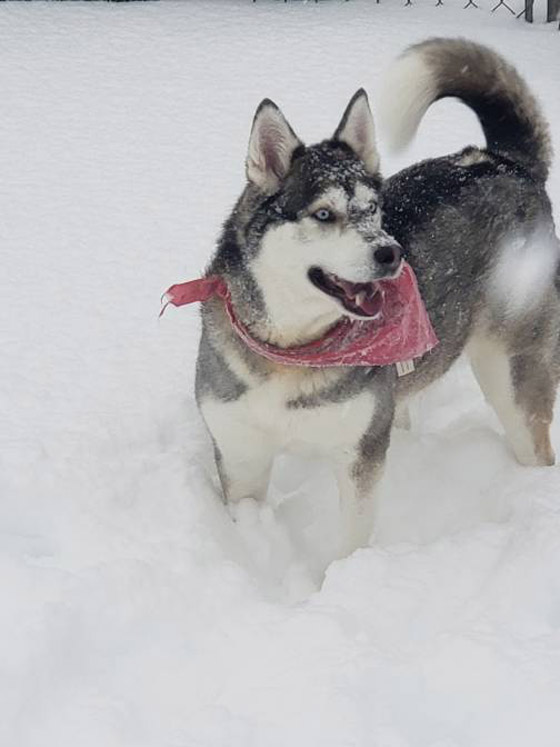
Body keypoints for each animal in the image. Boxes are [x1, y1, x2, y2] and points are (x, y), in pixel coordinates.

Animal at [195, 38, 556, 560]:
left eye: (374, 209)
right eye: (324, 214)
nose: (391, 253)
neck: (292, 353)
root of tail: (503, 162)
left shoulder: (358, 454)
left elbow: (350, 542)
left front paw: (341, 578)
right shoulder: (240, 452)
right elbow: (248, 517)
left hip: (512, 371)